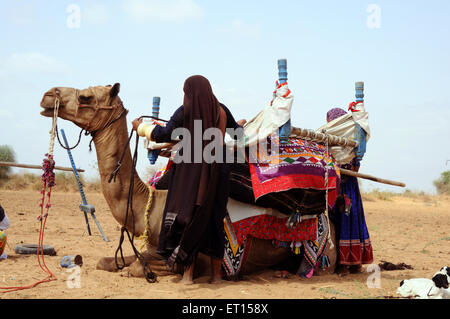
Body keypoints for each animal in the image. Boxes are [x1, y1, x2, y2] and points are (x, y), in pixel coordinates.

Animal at [39, 84, 338, 282]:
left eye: (85, 96)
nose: (49, 94)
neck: (150, 206)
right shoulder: (147, 248)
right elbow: (107, 262)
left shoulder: (182, 256)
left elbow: (137, 268)